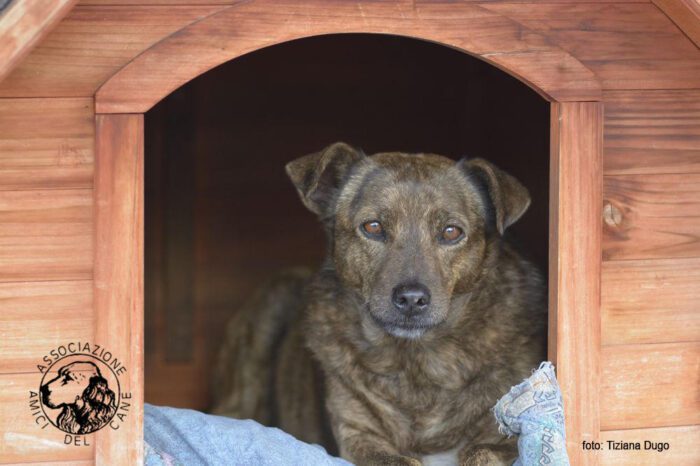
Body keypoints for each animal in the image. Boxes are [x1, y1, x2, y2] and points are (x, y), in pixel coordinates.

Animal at [212, 142, 548, 466]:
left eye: (451, 232)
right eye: (372, 227)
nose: (411, 299)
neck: (417, 361)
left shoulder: (507, 433)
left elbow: (481, 452)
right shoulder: (357, 436)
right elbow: (398, 460)